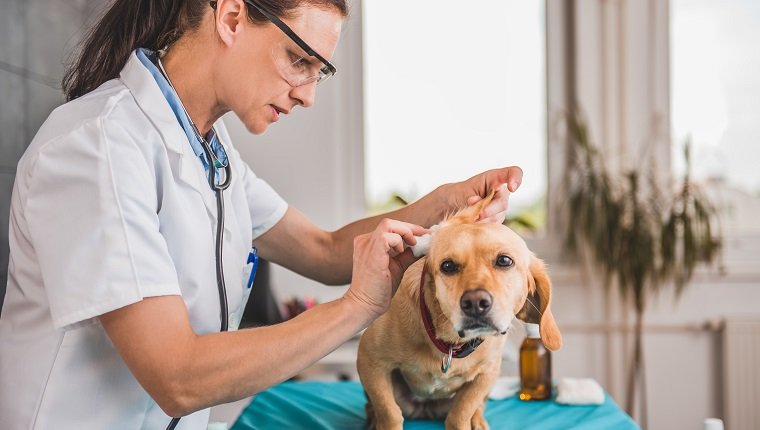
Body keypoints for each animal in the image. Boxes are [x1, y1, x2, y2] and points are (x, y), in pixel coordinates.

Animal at [354, 194, 560, 430]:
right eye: (448, 266)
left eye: (504, 260)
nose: (475, 303)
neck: (450, 344)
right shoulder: (371, 362)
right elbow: (389, 413)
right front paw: (384, 421)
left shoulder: (487, 374)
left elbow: (461, 412)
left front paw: (466, 419)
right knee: (374, 407)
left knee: (477, 407)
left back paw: (478, 420)